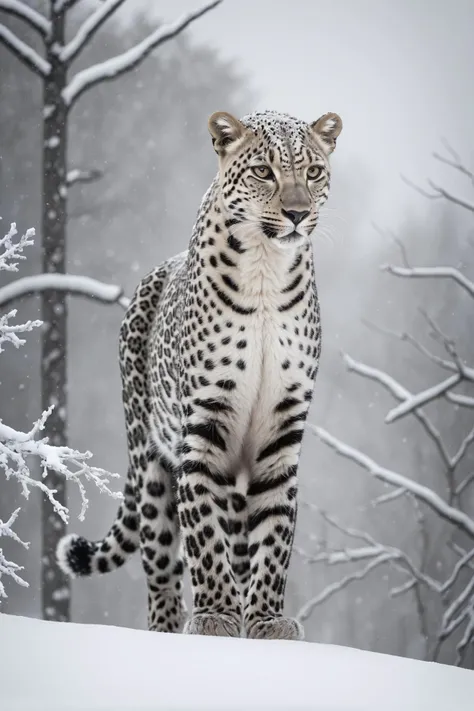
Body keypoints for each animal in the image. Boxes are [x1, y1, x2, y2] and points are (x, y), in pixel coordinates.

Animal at [58, 108, 340, 644]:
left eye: (313, 172)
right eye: (263, 172)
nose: (297, 213)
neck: (268, 269)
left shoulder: (280, 431)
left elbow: (275, 533)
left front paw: (266, 620)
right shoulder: (206, 425)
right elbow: (204, 536)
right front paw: (214, 617)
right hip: (149, 464)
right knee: (162, 568)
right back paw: (168, 627)